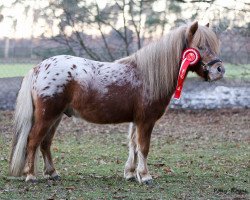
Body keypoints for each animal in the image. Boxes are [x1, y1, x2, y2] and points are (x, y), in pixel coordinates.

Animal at [9, 21, 225, 184]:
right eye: (200, 46)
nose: (219, 70)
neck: (147, 75)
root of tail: (38, 68)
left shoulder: (136, 121)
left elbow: (133, 145)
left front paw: (130, 173)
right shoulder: (146, 121)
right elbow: (143, 147)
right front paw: (145, 176)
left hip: (56, 117)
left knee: (45, 143)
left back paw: (52, 173)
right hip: (47, 116)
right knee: (33, 141)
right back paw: (31, 176)